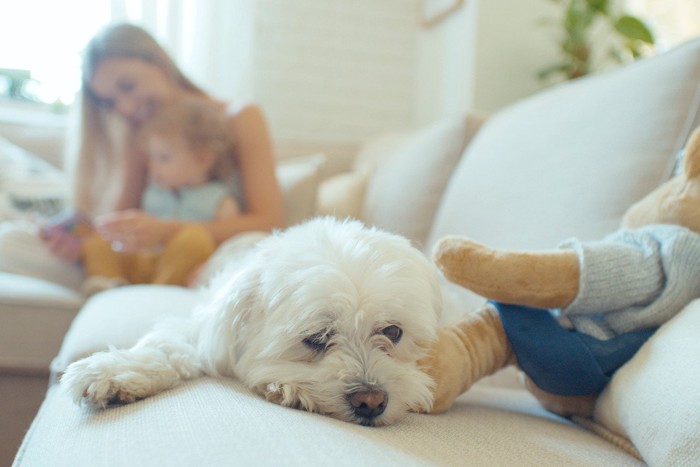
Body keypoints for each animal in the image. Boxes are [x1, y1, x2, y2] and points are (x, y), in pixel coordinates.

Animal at [61, 218, 442, 426]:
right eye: (317, 338)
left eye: (393, 332)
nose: (372, 401)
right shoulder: (205, 328)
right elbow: (168, 347)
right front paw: (114, 372)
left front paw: (287, 387)